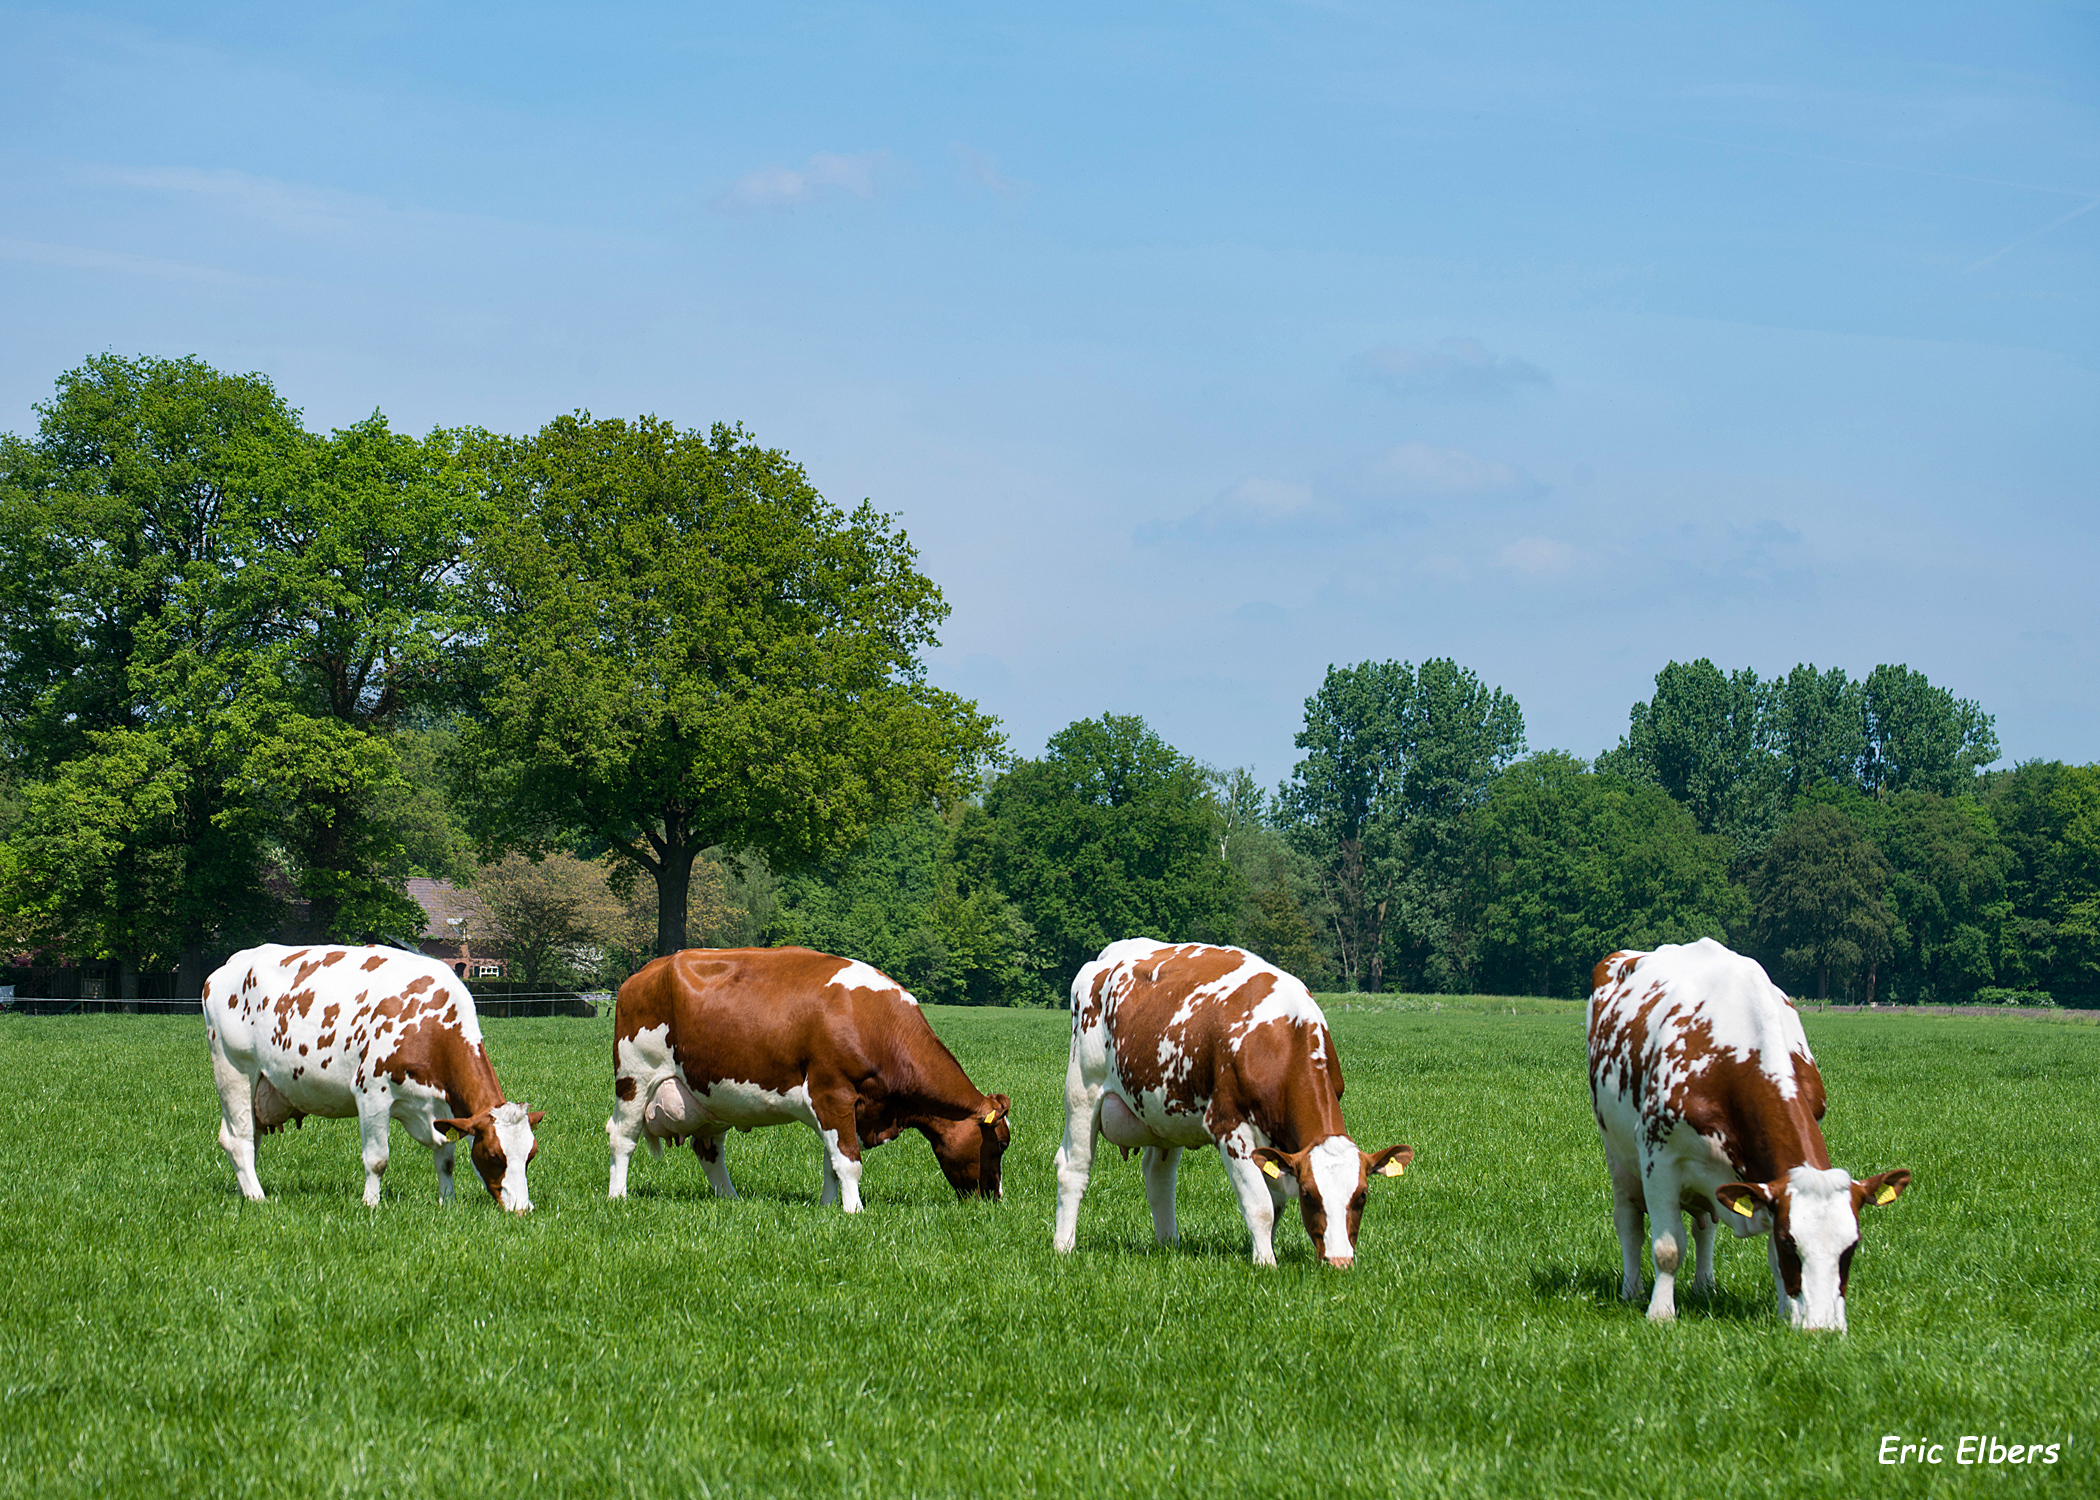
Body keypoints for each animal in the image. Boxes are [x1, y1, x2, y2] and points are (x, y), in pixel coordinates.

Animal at [202, 941, 541, 1210]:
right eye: (495, 1156)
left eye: (531, 1155)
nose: (523, 1209)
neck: (432, 1027)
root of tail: (234, 962)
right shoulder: (372, 1094)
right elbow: (377, 1159)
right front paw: (371, 1204)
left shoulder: (442, 1108)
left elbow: (446, 1159)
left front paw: (448, 1202)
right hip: (234, 1069)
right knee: (239, 1139)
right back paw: (257, 1197)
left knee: (251, 1138)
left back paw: (244, 1191)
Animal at [609, 953, 1007, 1210]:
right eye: (1001, 1144)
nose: (995, 1199)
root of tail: (644, 972)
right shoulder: (832, 1094)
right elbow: (848, 1161)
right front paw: (854, 1211)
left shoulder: (844, 1110)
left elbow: (832, 1161)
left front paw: (830, 1207)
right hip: (634, 1079)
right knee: (622, 1138)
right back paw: (618, 1197)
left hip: (709, 1097)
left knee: (708, 1150)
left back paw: (731, 1199)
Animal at [1050, 932, 1411, 1260]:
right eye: (1309, 1195)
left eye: (1362, 1195)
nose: (1339, 1261)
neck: (1283, 1038)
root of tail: (1112, 953)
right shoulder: (1230, 1127)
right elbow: (1261, 1206)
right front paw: (1266, 1264)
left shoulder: (1276, 1148)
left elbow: (1276, 1206)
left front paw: (1265, 1253)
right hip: (1082, 1091)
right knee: (1074, 1167)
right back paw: (1064, 1247)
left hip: (1164, 1111)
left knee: (1158, 1177)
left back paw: (1169, 1245)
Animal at [1579, 932, 1915, 1336]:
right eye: (1790, 1244)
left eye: (1851, 1247)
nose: (1822, 1328)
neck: (1734, 1051)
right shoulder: (1659, 1158)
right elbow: (1667, 1247)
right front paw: (1660, 1314)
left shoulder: (1765, 1186)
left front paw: (1786, 1314)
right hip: (1618, 1154)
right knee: (1629, 1220)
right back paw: (1632, 1290)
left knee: (1704, 1227)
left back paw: (1704, 1287)